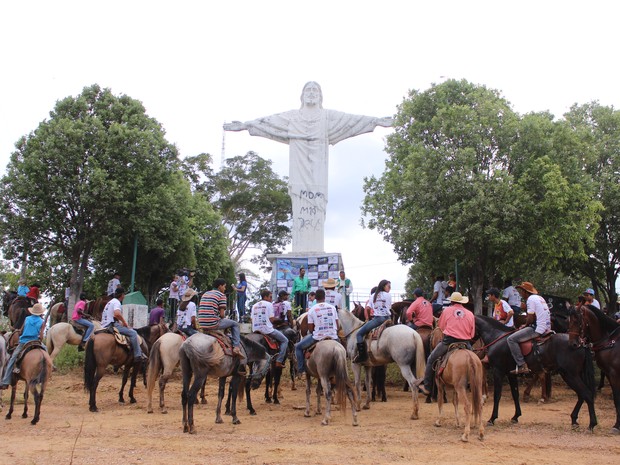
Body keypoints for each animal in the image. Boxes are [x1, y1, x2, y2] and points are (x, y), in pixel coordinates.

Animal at [472, 314, 600, 430]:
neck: (496, 336)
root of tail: (581, 344)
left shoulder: (498, 371)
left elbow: (497, 395)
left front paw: (492, 418)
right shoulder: (511, 374)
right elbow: (515, 394)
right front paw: (516, 416)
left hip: (570, 375)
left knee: (586, 394)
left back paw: (592, 424)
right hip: (575, 375)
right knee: (581, 395)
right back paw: (574, 420)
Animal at [568, 304, 620, 432]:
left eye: (578, 321)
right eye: (569, 320)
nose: (573, 344)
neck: (611, 343)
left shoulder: (614, 374)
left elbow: (617, 399)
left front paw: (616, 426)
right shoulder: (609, 374)